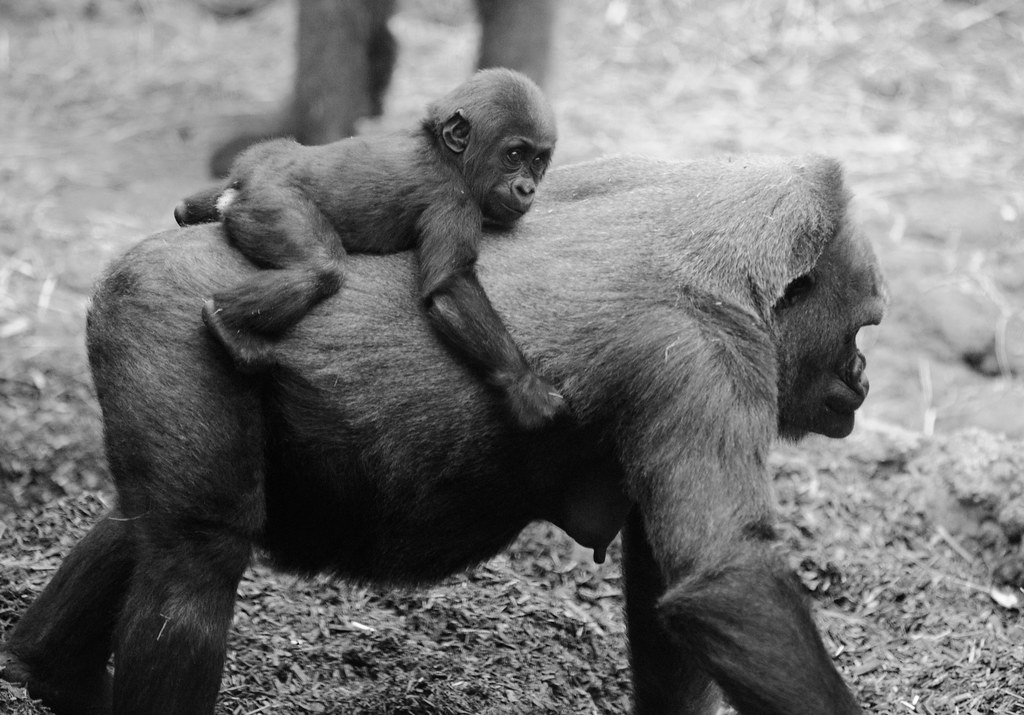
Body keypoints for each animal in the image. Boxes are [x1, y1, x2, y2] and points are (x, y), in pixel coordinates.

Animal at [0, 154, 886, 715]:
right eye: (861, 324)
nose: (865, 375)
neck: (745, 253)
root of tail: (130, 259)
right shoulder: (710, 350)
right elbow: (727, 577)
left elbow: (671, 584)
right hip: (167, 315)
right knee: (194, 561)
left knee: (146, 524)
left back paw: (52, 667)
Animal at [176, 68, 564, 430]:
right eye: (514, 155)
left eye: (538, 161)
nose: (527, 188)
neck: (447, 155)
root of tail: (242, 184)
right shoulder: (454, 199)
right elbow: (451, 287)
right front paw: (525, 387)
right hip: (269, 200)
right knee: (318, 268)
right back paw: (225, 321)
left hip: (258, 159)